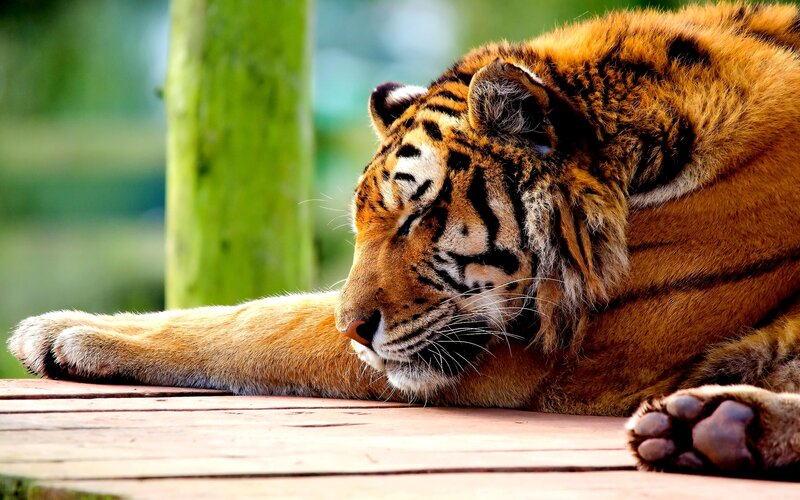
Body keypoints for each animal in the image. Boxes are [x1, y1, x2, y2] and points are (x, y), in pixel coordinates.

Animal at [8, 2, 800, 478]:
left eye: (419, 217)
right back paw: (715, 426)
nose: (355, 328)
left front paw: (64, 331)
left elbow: (264, 322)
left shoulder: (565, 353)